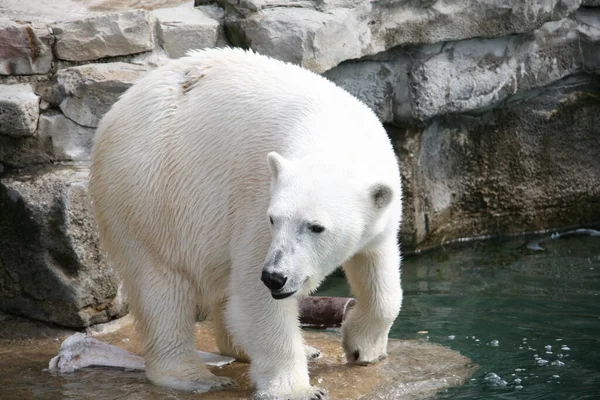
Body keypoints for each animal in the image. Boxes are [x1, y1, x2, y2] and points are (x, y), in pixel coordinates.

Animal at [89, 47, 404, 400]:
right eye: (273, 219)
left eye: (316, 227)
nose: (276, 277)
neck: (334, 134)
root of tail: (113, 115)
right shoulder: (255, 202)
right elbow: (255, 295)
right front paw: (299, 389)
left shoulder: (381, 210)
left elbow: (379, 270)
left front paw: (363, 348)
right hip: (146, 193)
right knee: (160, 285)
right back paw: (194, 376)